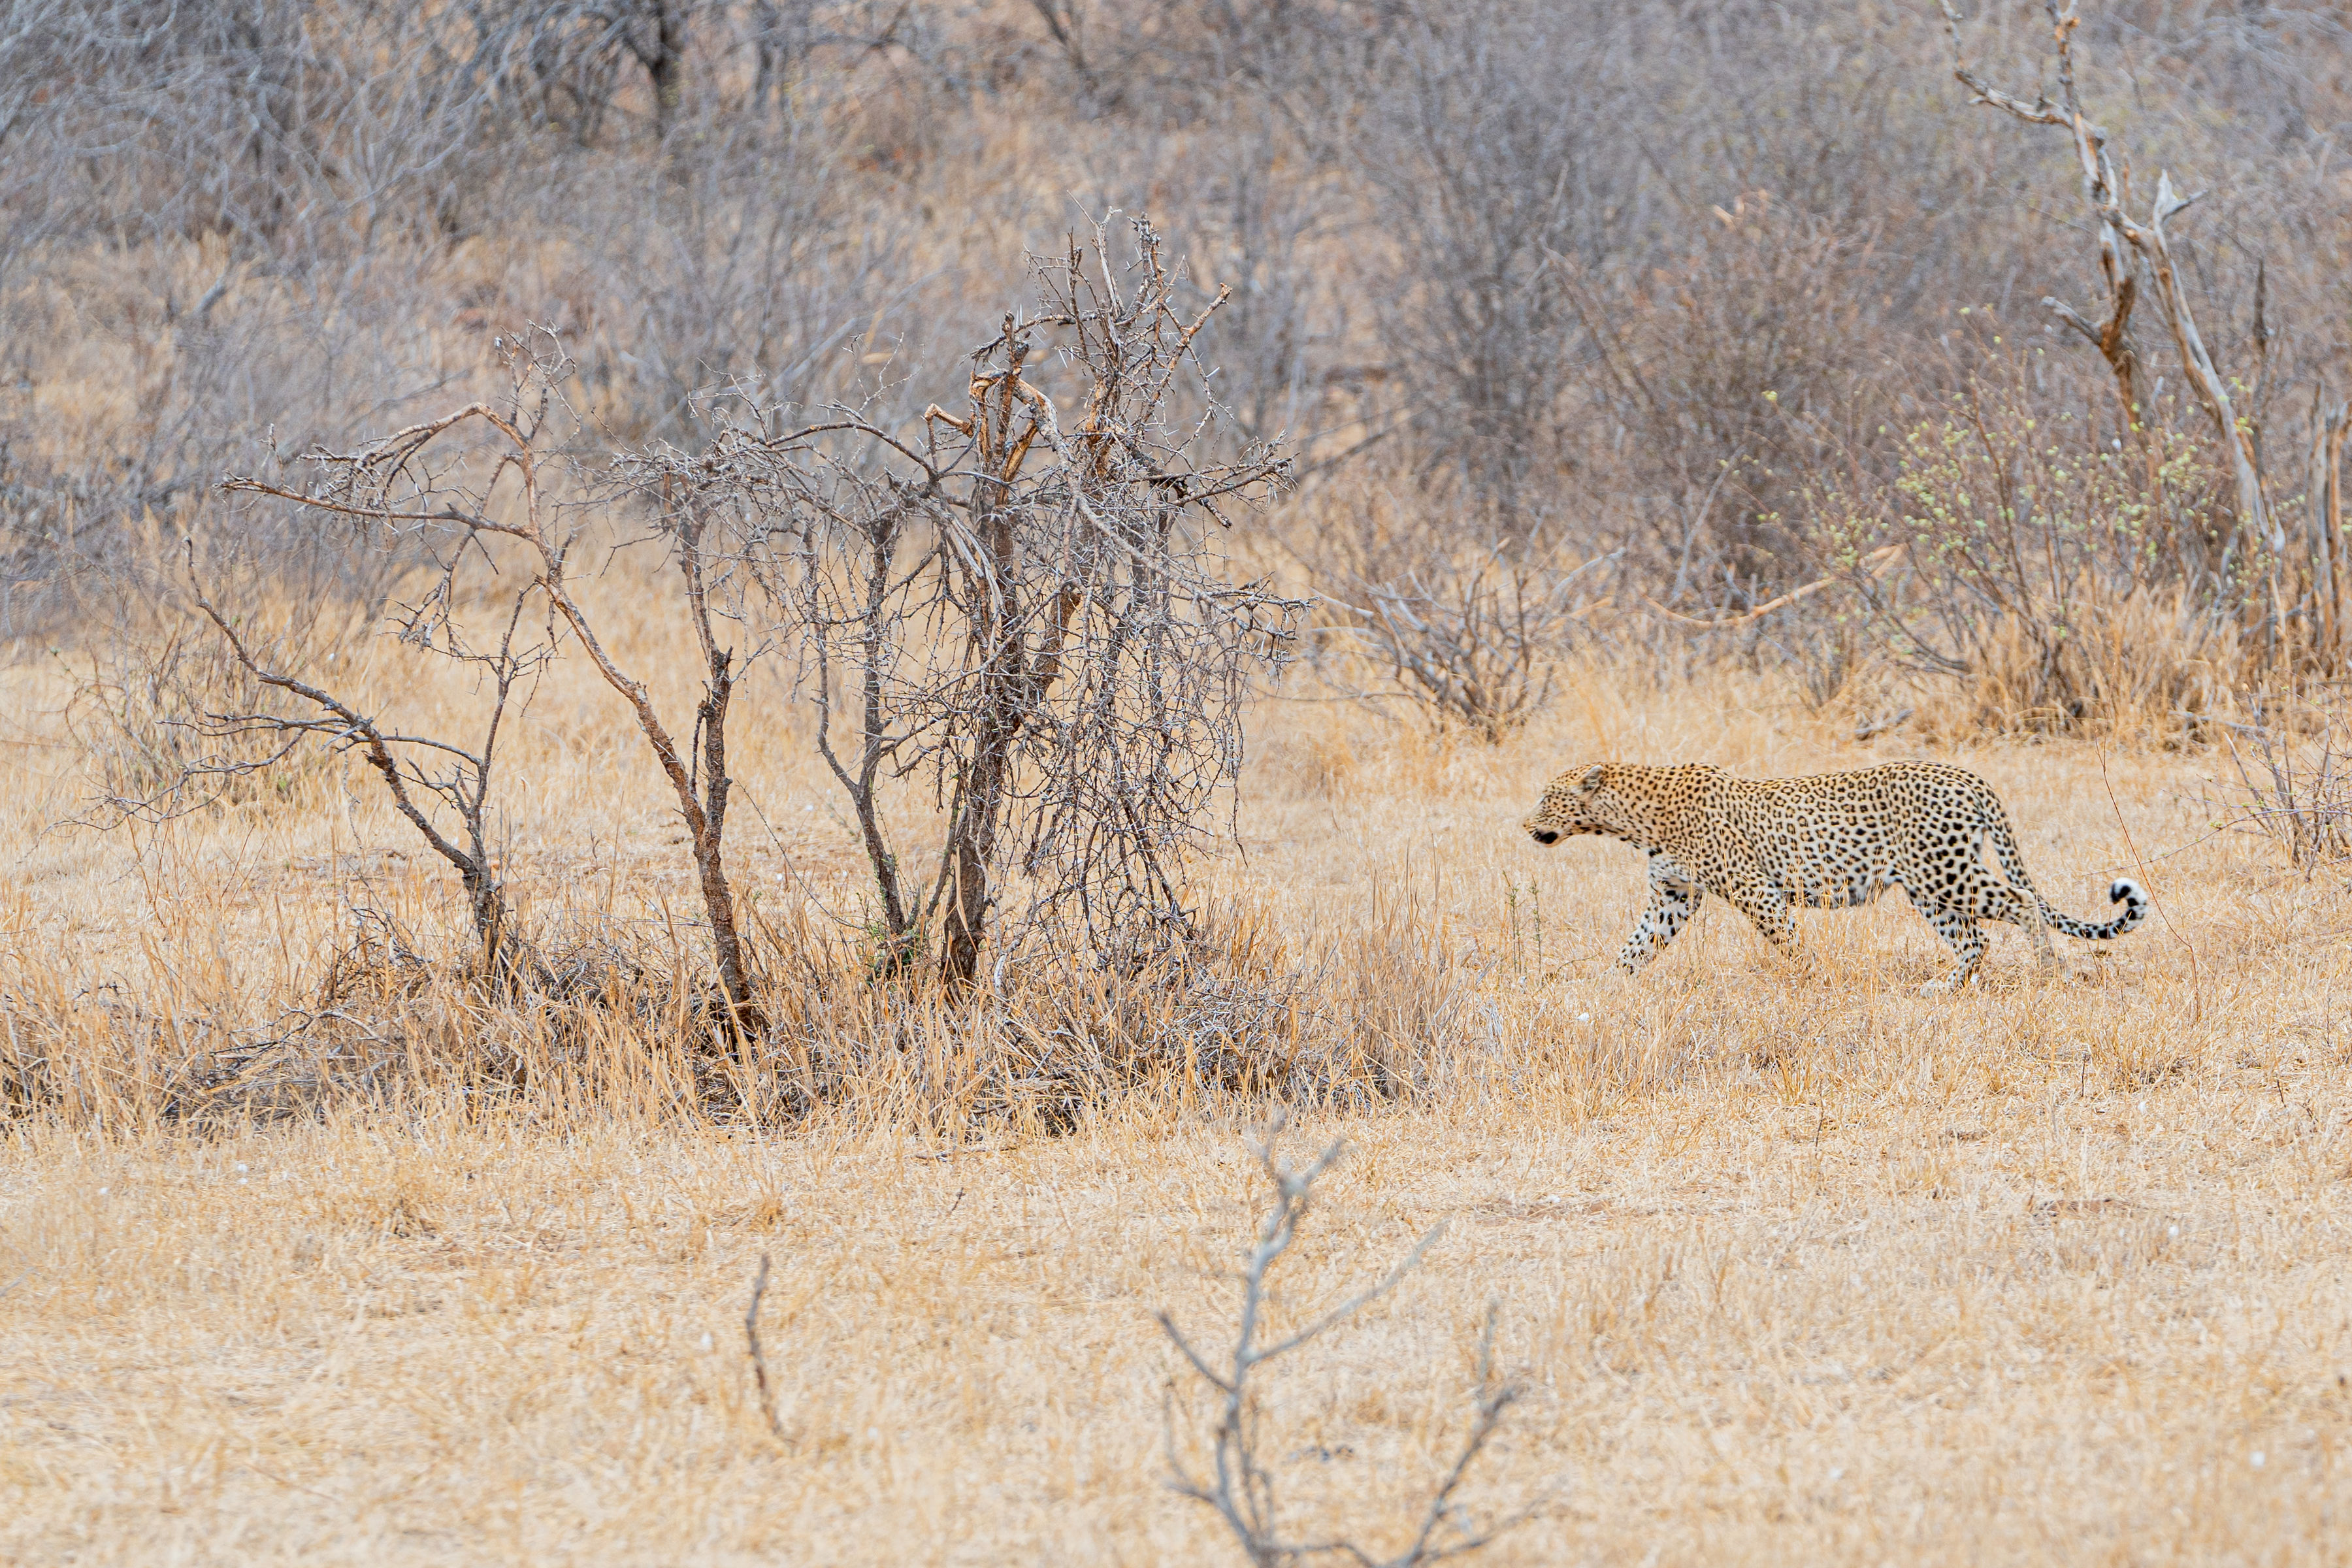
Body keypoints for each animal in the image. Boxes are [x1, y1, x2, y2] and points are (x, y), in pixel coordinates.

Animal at [1519, 760, 2147, 993]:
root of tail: (1966, 774)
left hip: (1943, 872)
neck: (1633, 819)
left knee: (2020, 901)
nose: (1526, 825)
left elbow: (1789, 943)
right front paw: (1603, 987)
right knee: (1974, 938)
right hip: (1928, 885)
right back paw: (1944, 988)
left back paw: (2049, 971)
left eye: (1548, 798)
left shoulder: (1754, 891)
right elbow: (1635, 948)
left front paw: (1813, 983)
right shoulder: (1672, 897)